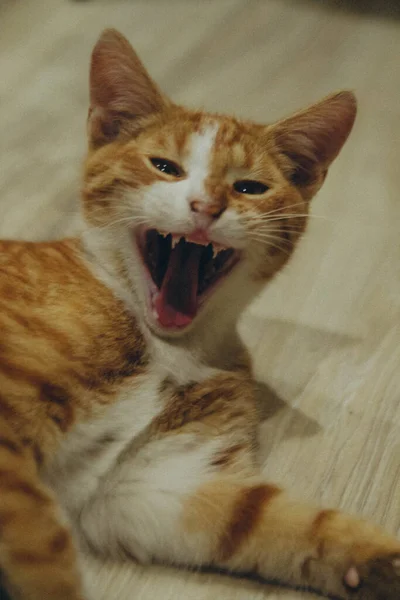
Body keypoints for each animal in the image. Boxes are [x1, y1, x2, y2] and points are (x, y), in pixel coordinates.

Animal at [0, 27, 400, 600]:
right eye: (165, 167)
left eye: (249, 187)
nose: (207, 207)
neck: (169, 347)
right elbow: (40, 541)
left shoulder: (157, 484)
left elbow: (280, 521)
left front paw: (379, 560)